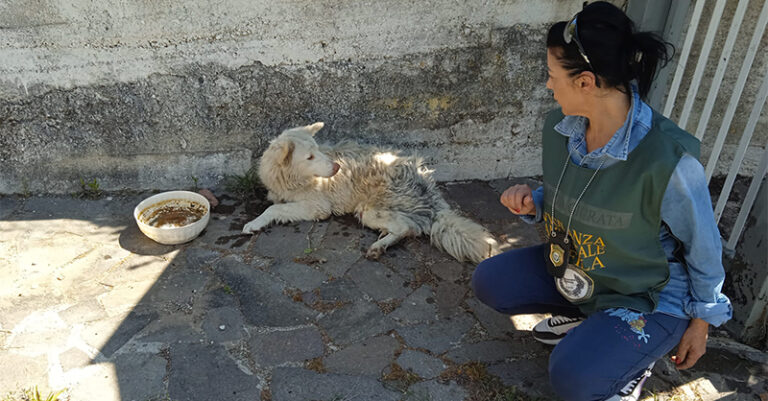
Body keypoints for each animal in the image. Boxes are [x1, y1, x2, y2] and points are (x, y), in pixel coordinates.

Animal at [243, 123, 500, 264]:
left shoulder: (317, 207)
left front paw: (254, 223)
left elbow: (273, 208)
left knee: (407, 227)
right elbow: (275, 202)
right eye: (310, 157)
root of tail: (426, 184)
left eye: (317, 151)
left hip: (368, 210)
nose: (337, 167)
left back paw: (379, 247)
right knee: (406, 226)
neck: (291, 178)